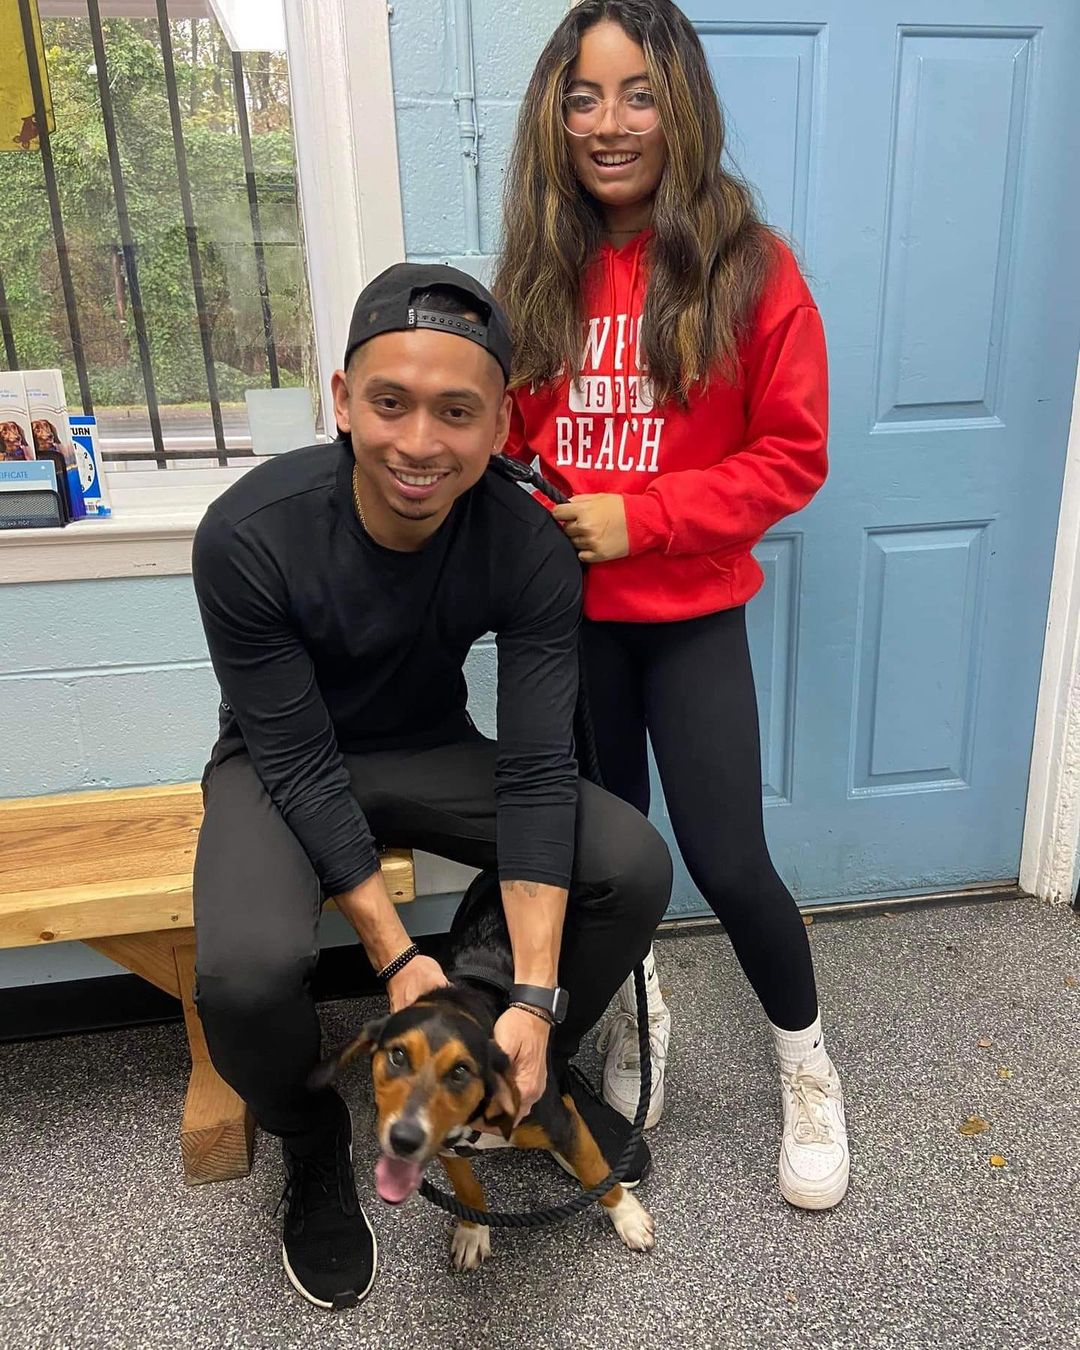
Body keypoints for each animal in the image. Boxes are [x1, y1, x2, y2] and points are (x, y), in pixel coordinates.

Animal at [312, 875, 655, 1270]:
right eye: (397, 1056)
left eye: (461, 1071)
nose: (403, 1139)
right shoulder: (448, 1151)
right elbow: (468, 1190)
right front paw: (473, 1232)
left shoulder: (563, 1127)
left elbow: (596, 1173)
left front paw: (627, 1217)